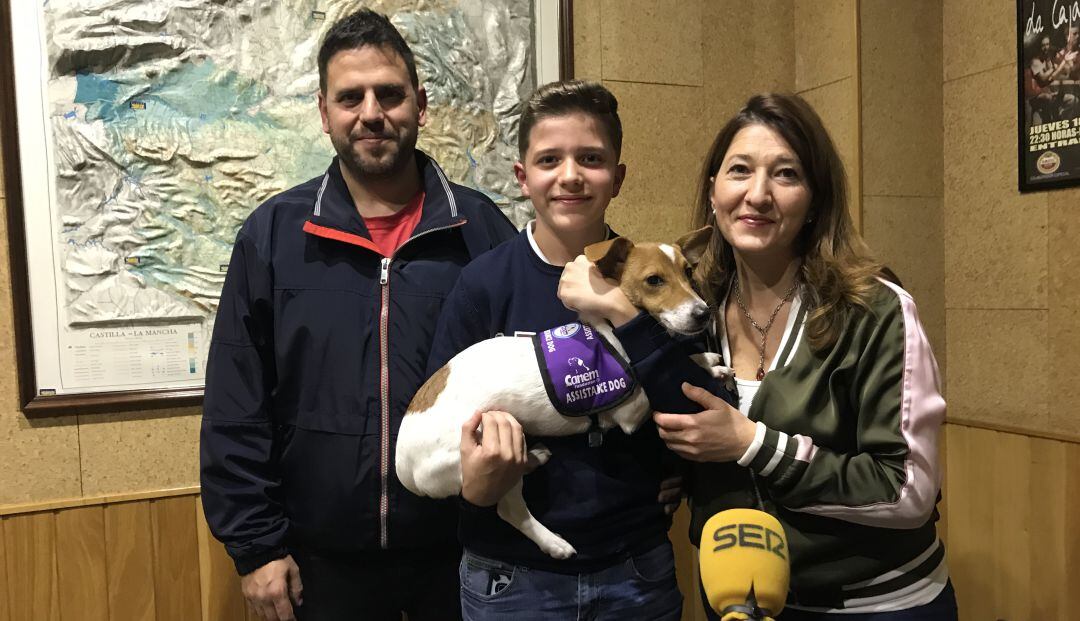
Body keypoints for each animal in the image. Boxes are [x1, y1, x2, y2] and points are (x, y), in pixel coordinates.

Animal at [393, 226, 721, 557]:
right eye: (654, 280)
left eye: (688, 272)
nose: (704, 313)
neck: (612, 331)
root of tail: (403, 469)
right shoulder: (631, 409)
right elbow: (656, 369)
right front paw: (703, 362)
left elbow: (683, 355)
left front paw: (708, 361)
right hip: (484, 450)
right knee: (511, 511)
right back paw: (553, 542)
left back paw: (533, 457)